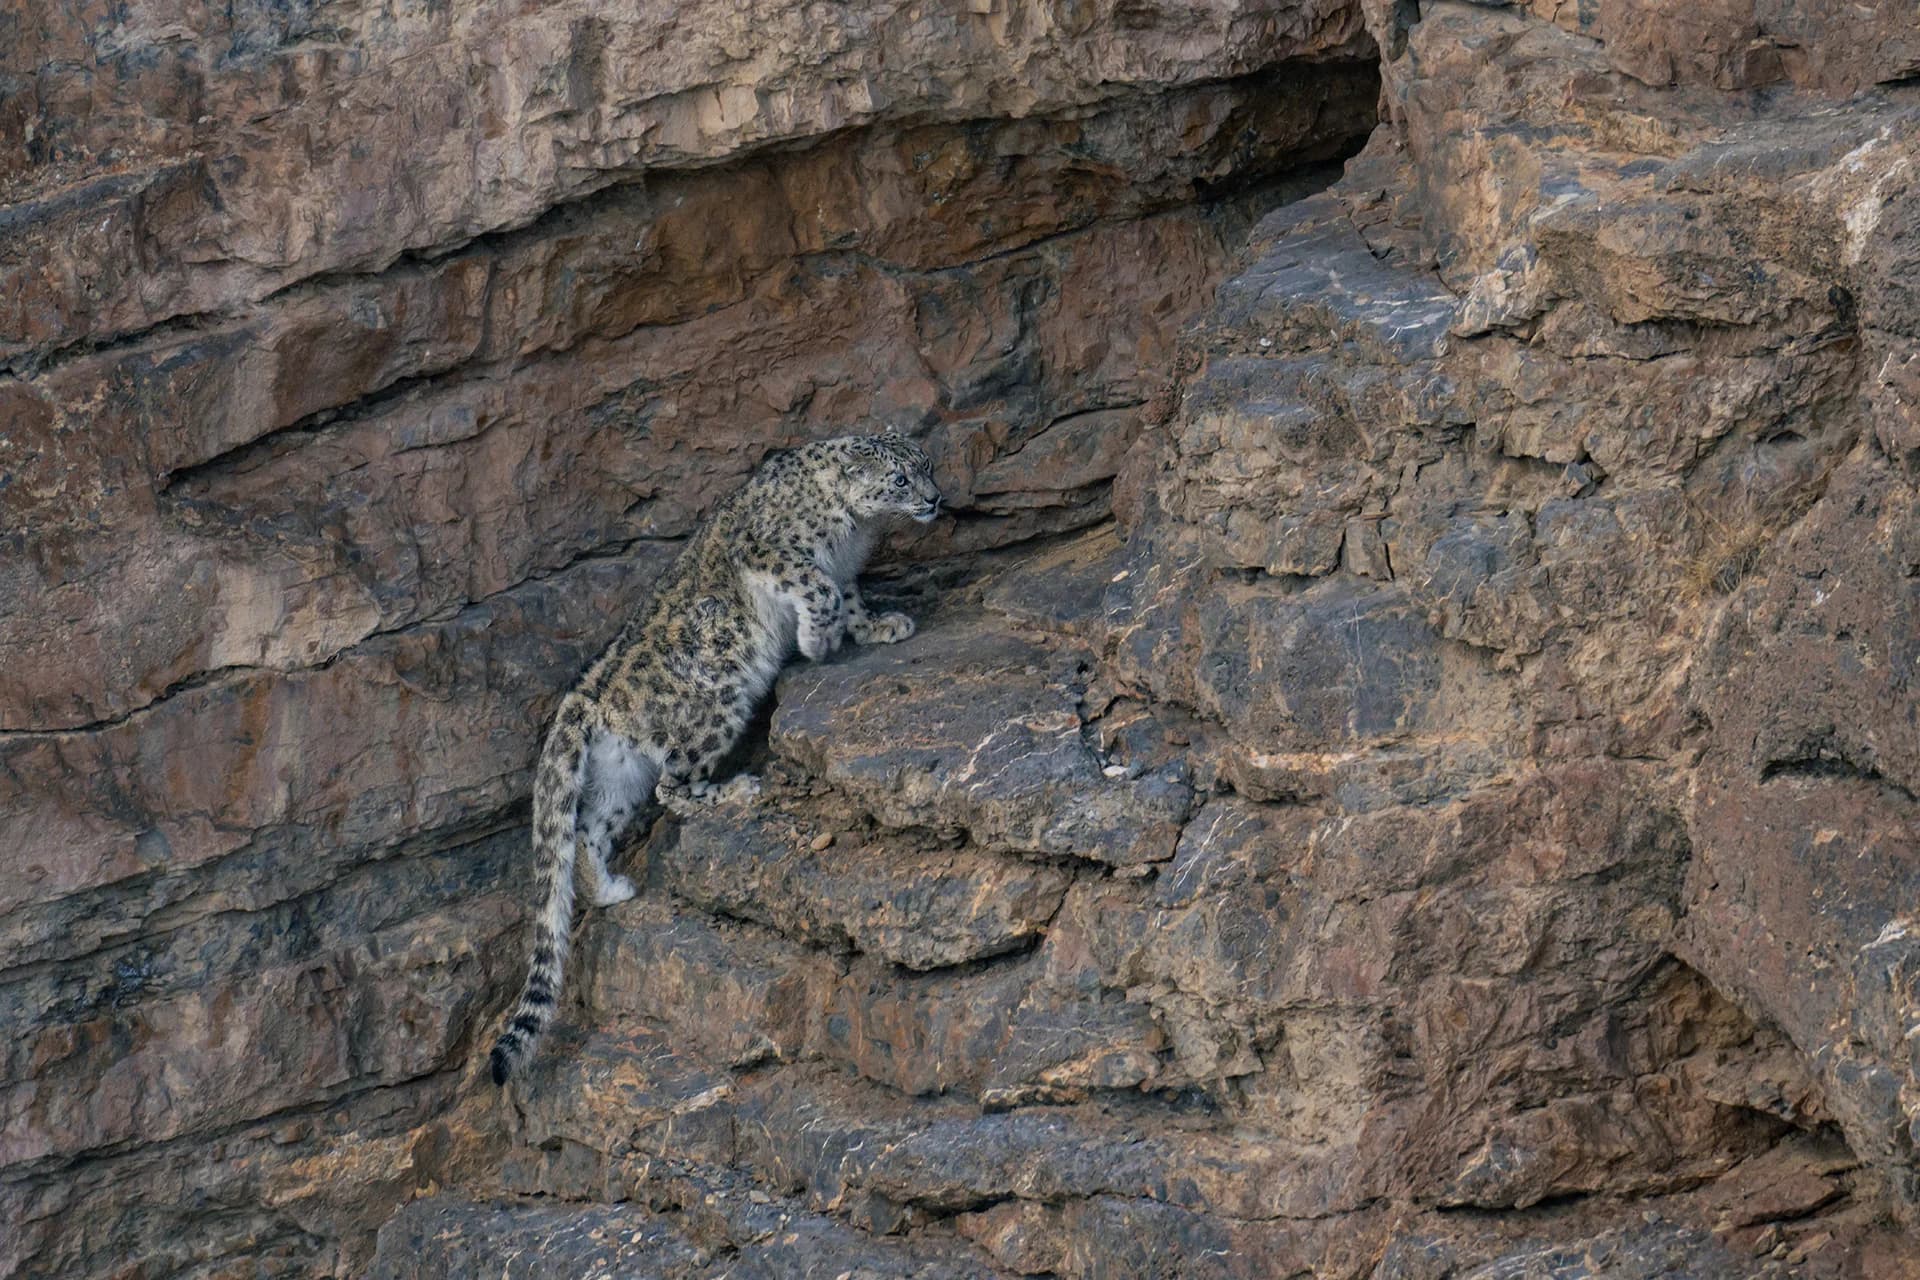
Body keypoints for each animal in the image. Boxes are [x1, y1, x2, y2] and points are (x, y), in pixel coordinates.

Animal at [487, 431, 942, 1084]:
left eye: (927, 466)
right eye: (899, 479)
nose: (935, 499)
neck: (853, 533)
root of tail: (588, 693)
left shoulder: (846, 568)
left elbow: (849, 596)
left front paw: (880, 626)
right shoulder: (774, 551)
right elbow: (820, 588)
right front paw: (817, 640)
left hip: (617, 776)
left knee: (591, 827)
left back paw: (611, 889)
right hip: (717, 706)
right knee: (673, 787)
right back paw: (734, 790)